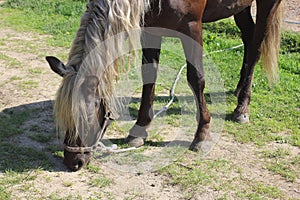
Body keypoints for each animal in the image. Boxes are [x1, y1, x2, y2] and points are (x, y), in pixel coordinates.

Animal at [45, 0, 284, 172]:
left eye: (83, 115)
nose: (73, 161)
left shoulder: (191, 27)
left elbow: (196, 78)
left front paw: (202, 133)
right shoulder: (150, 29)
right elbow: (149, 75)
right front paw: (140, 129)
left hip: (267, 4)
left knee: (255, 46)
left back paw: (242, 107)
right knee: (248, 37)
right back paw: (238, 88)